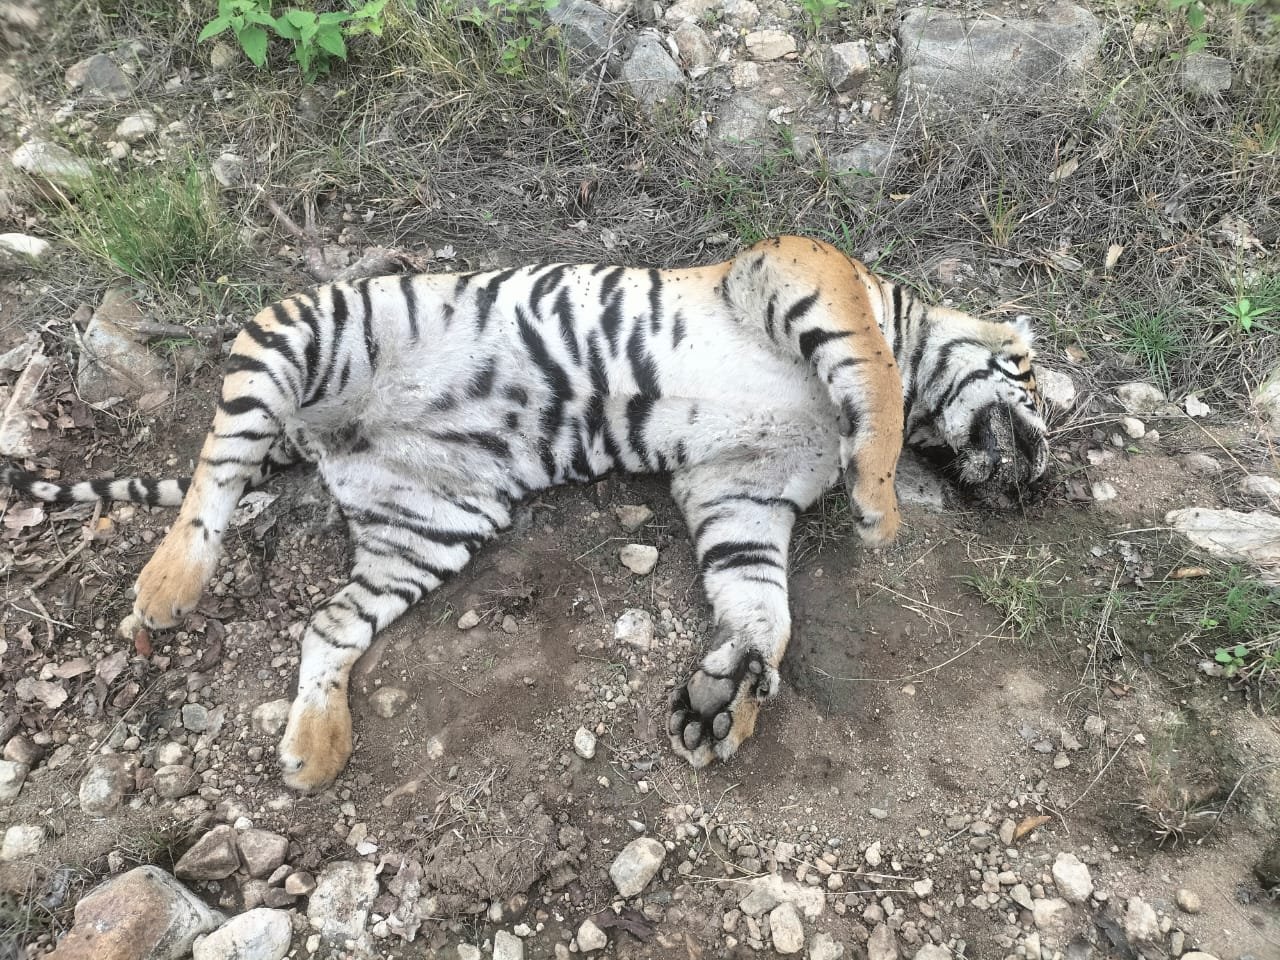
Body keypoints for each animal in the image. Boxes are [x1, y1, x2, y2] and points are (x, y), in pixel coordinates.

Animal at [2, 236, 1049, 792]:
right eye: (1037, 383)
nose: (1038, 478)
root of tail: (324, 442)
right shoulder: (803, 271)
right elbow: (873, 382)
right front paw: (881, 509)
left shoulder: (739, 494)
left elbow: (762, 607)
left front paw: (729, 698)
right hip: (305, 331)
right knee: (213, 472)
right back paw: (168, 586)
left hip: (430, 525)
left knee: (328, 626)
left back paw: (315, 750)